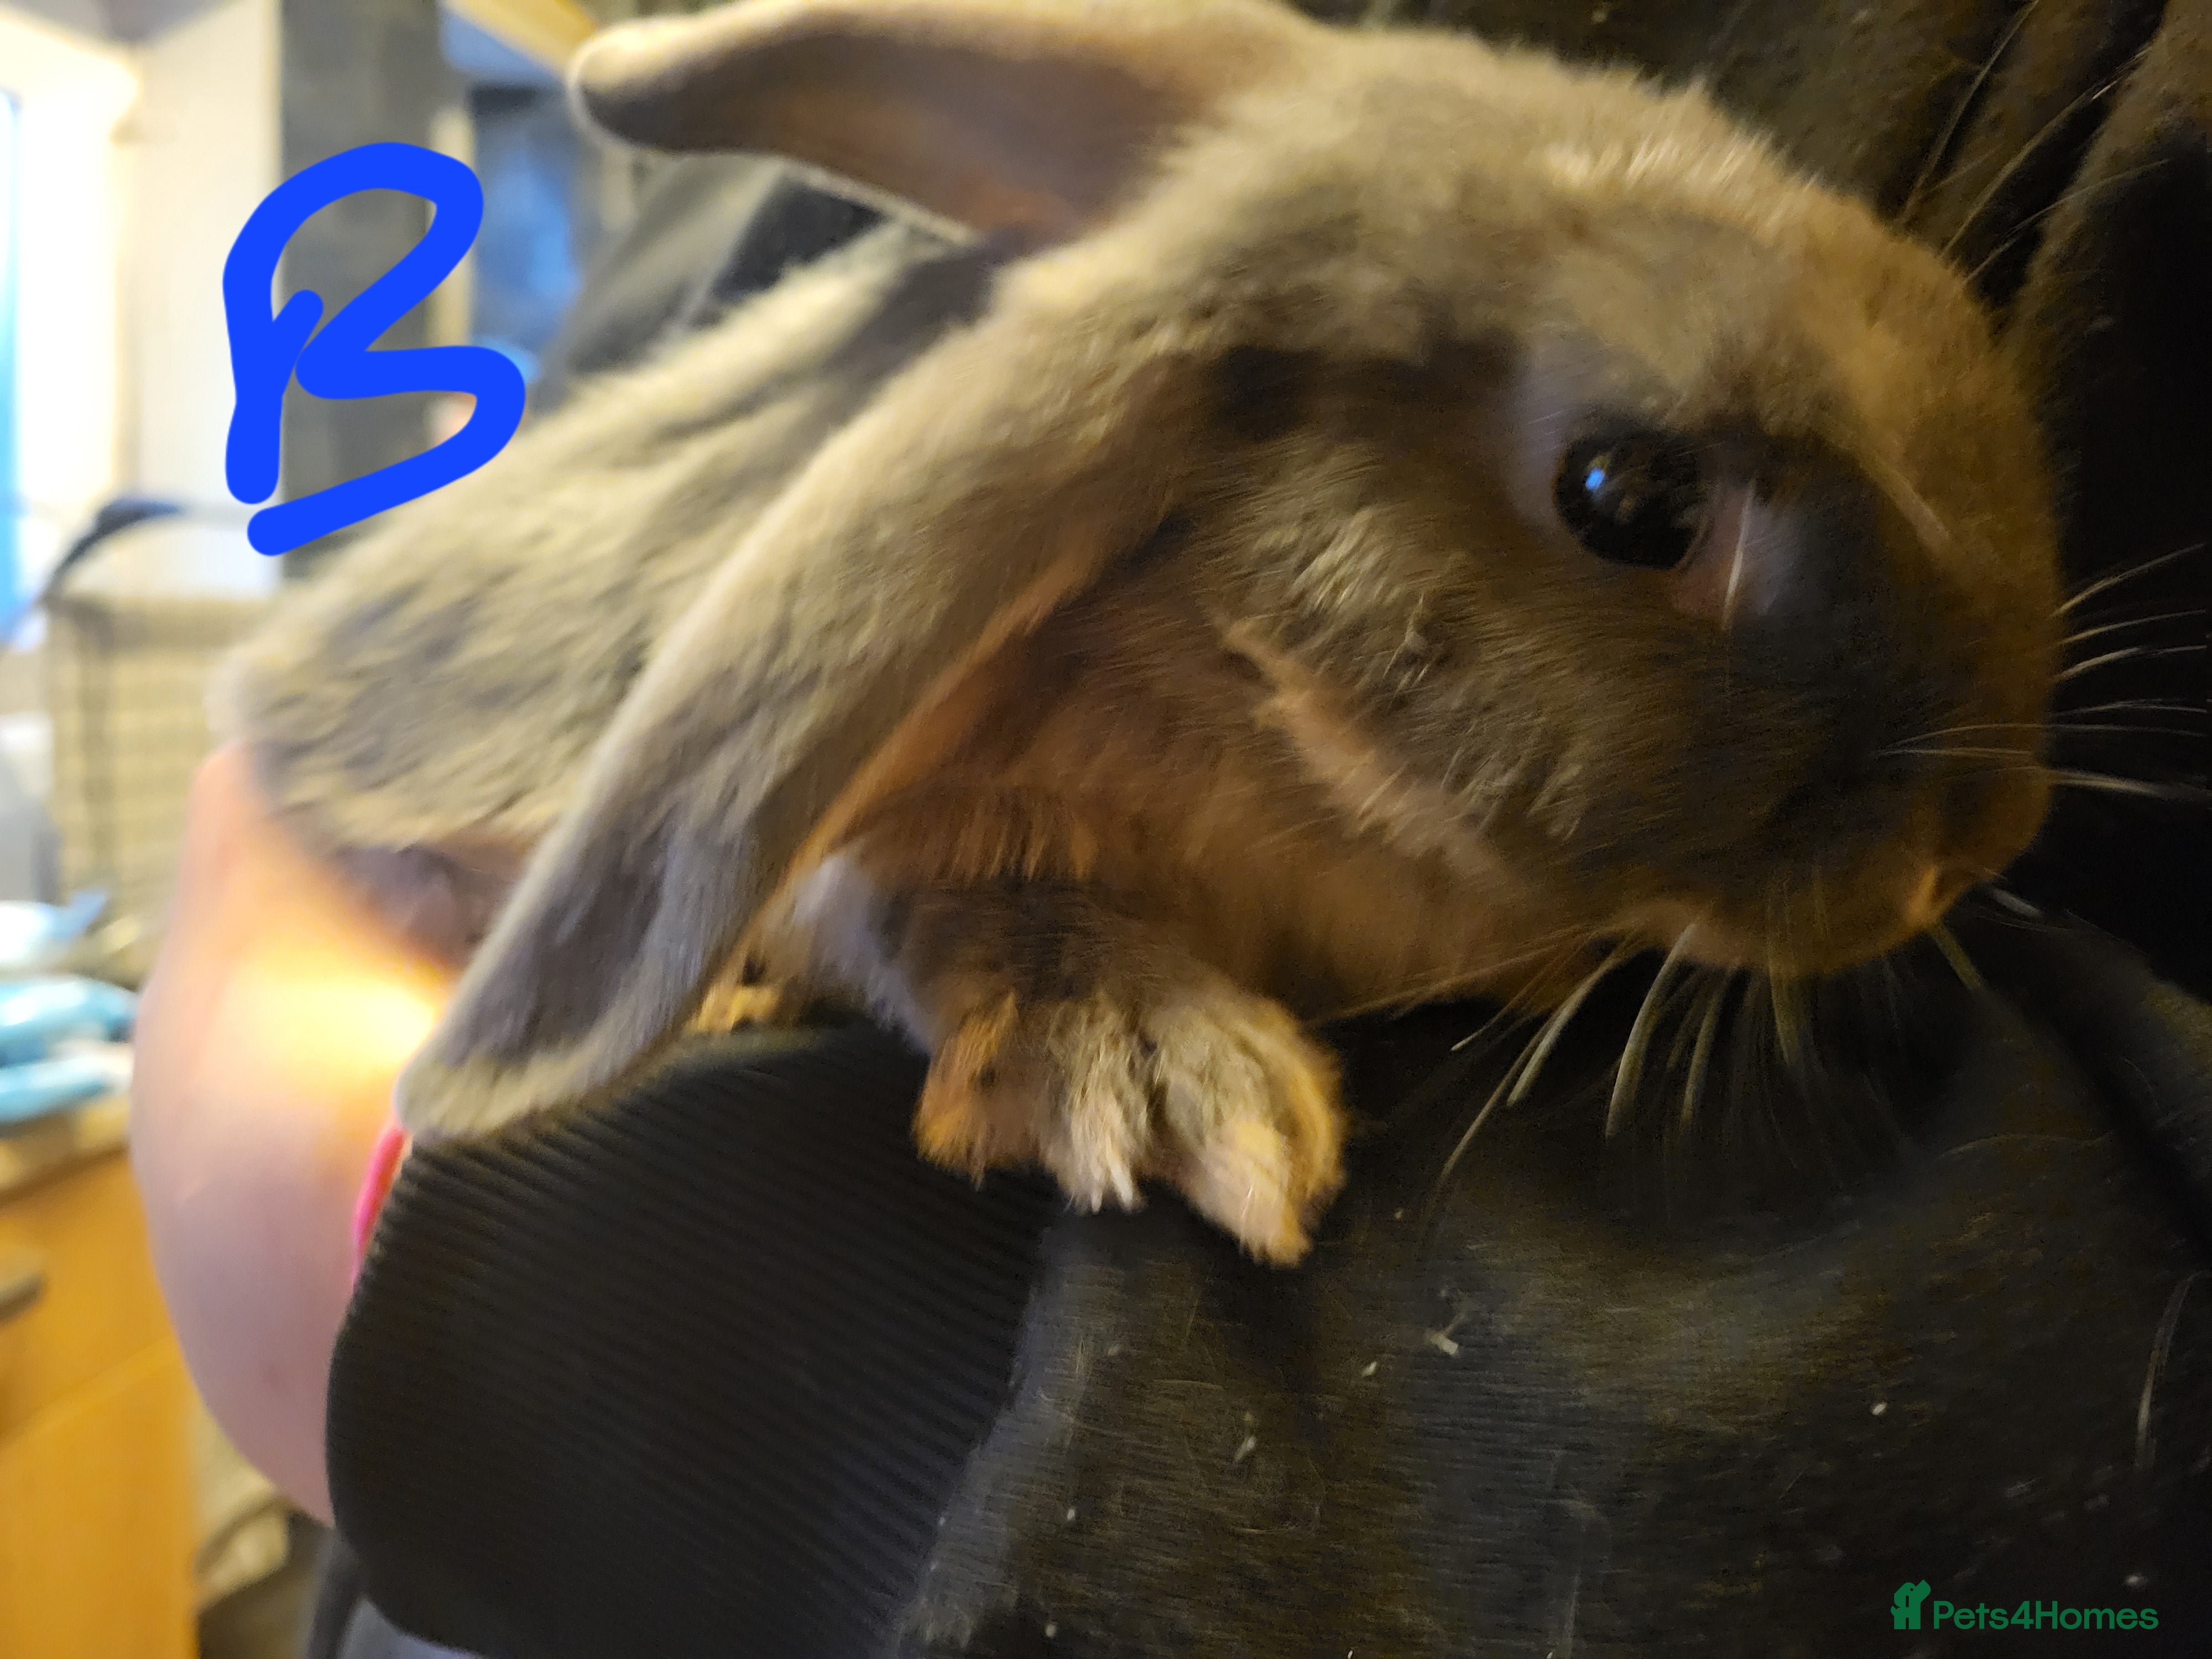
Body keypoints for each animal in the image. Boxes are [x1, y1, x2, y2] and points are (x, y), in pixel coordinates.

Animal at [226, 0, 2059, 1266]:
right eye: (1630, 496)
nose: (1970, 845)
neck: (1263, 691)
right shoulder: (885, 828)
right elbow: (933, 902)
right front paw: (1159, 1075)